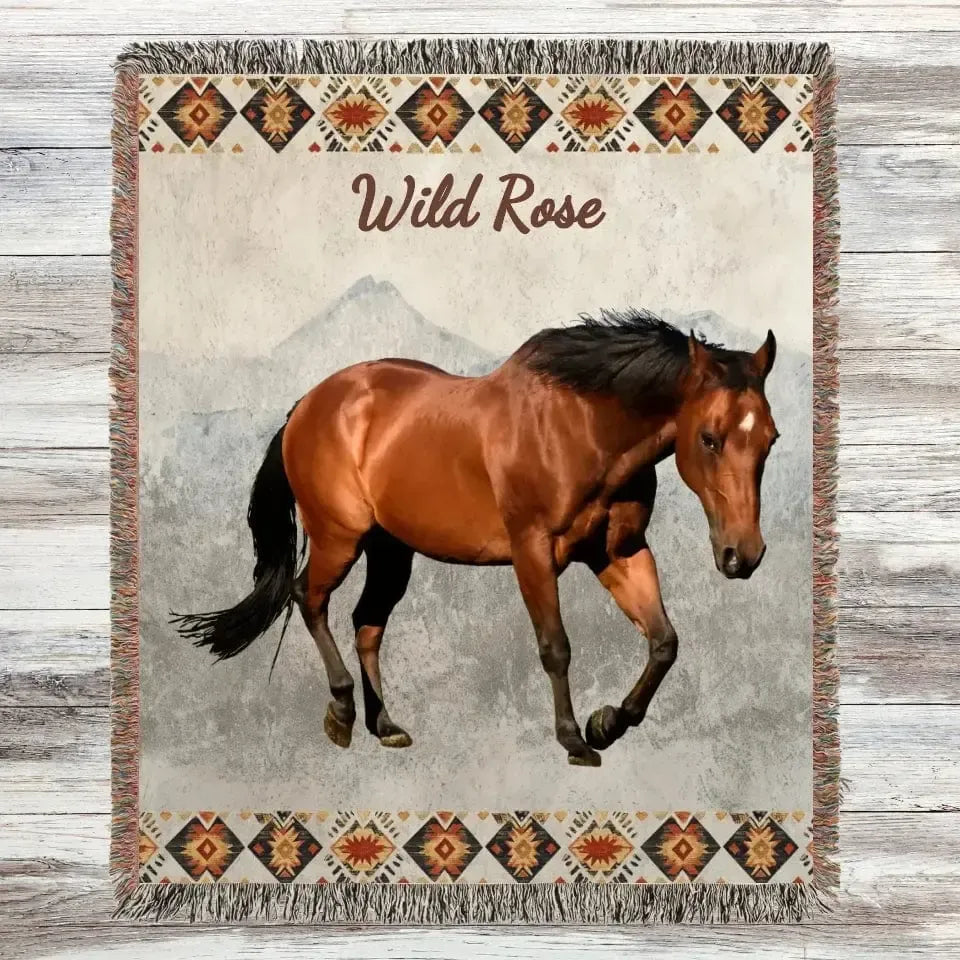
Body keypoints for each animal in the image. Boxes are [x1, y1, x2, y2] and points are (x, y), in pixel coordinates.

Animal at [173, 309, 779, 767]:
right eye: (709, 438)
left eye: (770, 438)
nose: (743, 555)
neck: (581, 427)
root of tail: (305, 406)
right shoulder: (533, 553)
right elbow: (556, 646)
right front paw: (574, 740)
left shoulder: (620, 553)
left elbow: (663, 642)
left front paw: (607, 722)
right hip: (338, 538)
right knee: (309, 598)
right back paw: (341, 714)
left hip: (391, 550)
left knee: (368, 623)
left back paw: (384, 724)